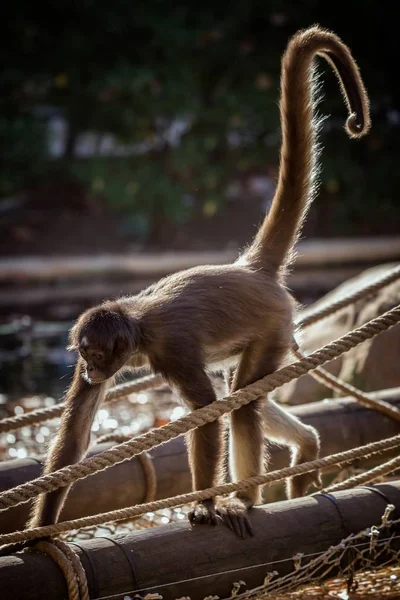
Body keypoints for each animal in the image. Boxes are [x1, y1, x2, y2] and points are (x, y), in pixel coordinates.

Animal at [27, 25, 368, 536]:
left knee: (242, 408)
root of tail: (249, 268)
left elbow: (206, 418)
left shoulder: (173, 348)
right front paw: (40, 535)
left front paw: (205, 504)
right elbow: (74, 438)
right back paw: (306, 444)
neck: (138, 323)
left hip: (274, 326)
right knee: (245, 398)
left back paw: (243, 498)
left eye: (95, 354)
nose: (88, 371)